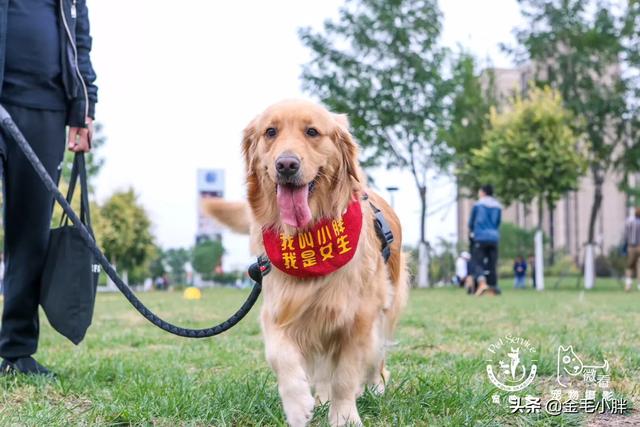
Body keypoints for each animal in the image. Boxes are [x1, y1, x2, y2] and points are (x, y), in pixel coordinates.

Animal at [205, 100, 408, 427]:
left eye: (312, 132)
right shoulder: (280, 307)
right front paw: (298, 404)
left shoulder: (360, 315)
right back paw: (321, 398)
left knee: (376, 356)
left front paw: (344, 416)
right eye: (270, 132)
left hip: (386, 306)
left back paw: (375, 386)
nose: (286, 165)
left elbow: (346, 374)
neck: (309, 234)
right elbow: (281, 355)